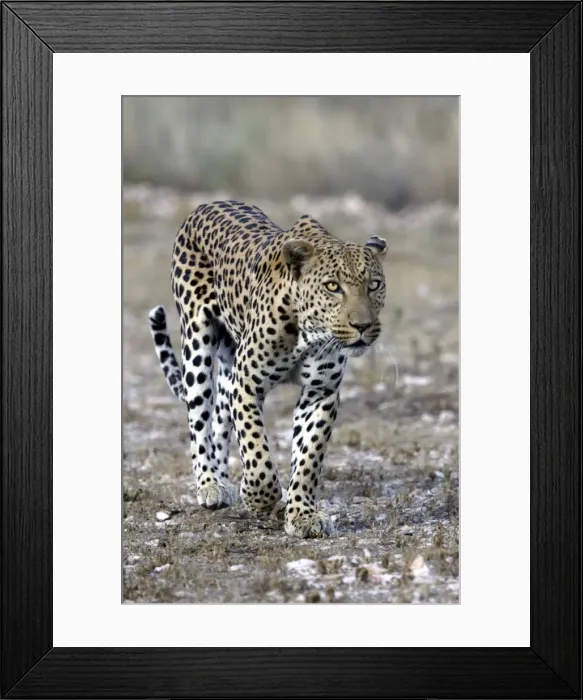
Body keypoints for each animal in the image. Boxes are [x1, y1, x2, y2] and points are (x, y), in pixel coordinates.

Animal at [148, 200, 387, 538]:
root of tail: (208, 204)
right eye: (333, 287)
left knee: (220, 419)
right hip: (197, 342)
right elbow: (256, 448)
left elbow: (308, 457)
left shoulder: (321, 393)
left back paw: (223, 480)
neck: (309, 333)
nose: (363, 326)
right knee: (199, 420)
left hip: (228, 362)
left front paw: (302, 515)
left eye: (374, 285)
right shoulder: (247, 384)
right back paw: (210, 484)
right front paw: (259, 498)